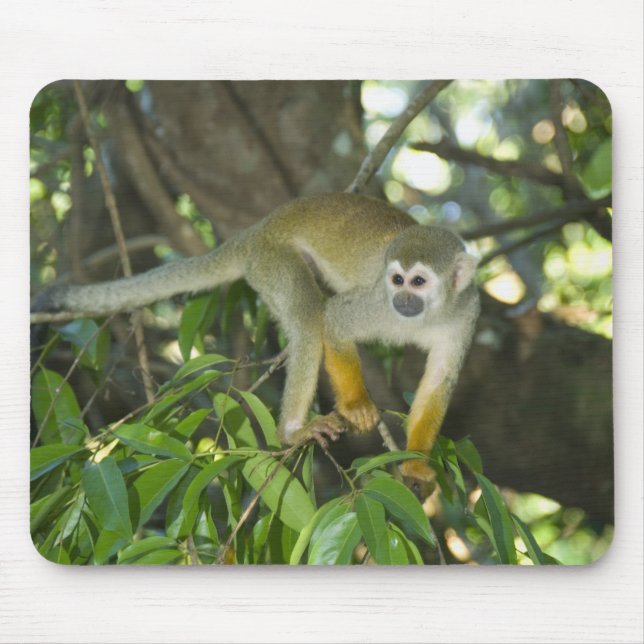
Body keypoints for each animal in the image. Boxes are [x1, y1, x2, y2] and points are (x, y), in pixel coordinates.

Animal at [31, 192, 480, 486]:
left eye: (419, 282)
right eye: (397, 279)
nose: (403, 300)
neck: (426, 314)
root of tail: (257, 230)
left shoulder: (467, 313)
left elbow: (440, 382)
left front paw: (416, 462)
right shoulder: (376, 302)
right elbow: (335, 321)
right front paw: (356, 405)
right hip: (272, 260)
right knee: (308, 316)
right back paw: (293, 432)